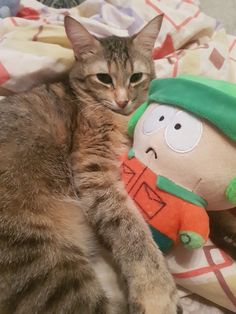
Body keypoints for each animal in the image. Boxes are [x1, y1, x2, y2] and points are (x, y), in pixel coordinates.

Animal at [0, 15, 180, 314]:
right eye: (104, 78)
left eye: (136, 77)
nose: (122, 100)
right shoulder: (94, 172)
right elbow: (131, 228)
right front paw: (155, 288)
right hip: (50, 267)